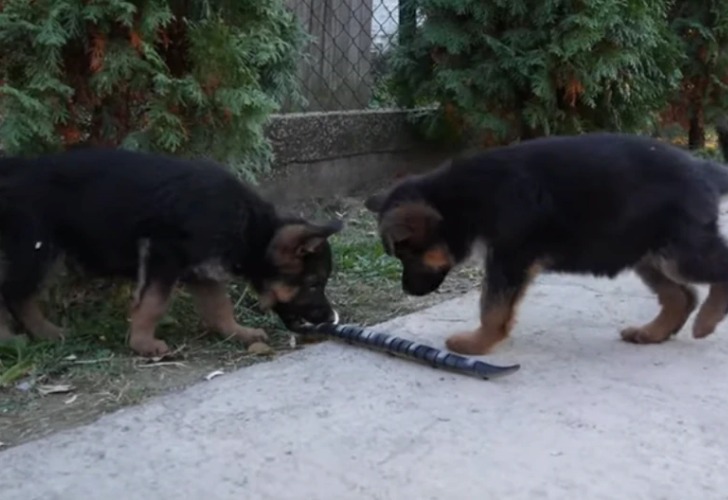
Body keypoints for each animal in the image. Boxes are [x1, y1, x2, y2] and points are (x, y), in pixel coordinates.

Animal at [0, 146, 344, 358]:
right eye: (314, 283)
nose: (331, 318)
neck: (249, 228)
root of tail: (14, 167)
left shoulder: (203, 272)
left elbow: (219, 308)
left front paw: (237, 332)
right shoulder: (162, 257)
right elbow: (153, 303)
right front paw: (142, 344)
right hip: (36, 251)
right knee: (13, 293)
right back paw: (21, 338)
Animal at [366, 133, 728, 356]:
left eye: (406, 253)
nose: (407, 291)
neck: (462, 201)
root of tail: (703, 168)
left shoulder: (508, 259)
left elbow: (492, 307)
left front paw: (477, 343)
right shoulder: (508, 260)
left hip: (678, 254)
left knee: (716, 273)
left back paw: (708, 320)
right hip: (646, 253)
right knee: (681, 296)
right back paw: (652, 333)